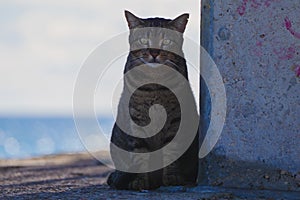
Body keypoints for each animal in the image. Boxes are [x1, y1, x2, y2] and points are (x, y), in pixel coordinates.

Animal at [106, 10, 198, 191]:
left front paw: (172, 178)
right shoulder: (137, 119)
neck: (155, 83)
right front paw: (140, 181)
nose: (154, 53)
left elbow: (171, 151)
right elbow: (140, 154)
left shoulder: (176, 119)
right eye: (143, 40)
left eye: (167, 41)